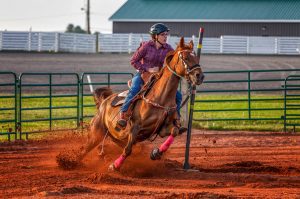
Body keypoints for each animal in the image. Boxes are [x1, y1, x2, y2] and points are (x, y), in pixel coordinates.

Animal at [76, 37, 205, 171]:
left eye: (196, 57)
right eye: (185, 57)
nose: (200, 76)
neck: (159, 98)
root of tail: (104, 103)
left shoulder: (163, 129)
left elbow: (174, 131)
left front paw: (156, 153)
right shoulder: (135, 128)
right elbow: (127, 150)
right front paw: (114, 165)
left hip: (115, 137)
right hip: (96, 134)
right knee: (84, 150)